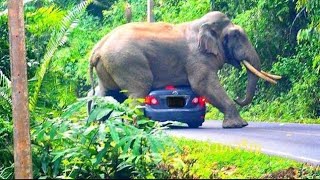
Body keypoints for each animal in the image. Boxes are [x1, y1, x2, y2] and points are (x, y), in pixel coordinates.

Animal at [87, 10, 280, 128]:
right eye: (237, 35)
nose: (238, 98)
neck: (200, 24)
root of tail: (97, 49)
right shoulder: (197, 58)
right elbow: (203, 85)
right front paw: (238, 125)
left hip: (110, 67)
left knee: (106, 93)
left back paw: (98, 124)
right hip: (127, 62)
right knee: (137, 91)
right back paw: (141, 126)